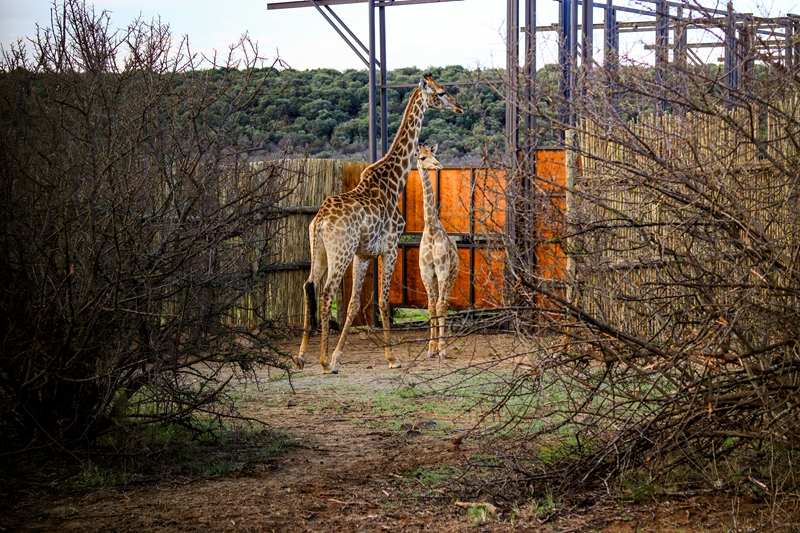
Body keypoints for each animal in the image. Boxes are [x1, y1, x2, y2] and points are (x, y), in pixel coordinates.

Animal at [296, 74, 463, 374]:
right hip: (340, 252)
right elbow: (383, 300)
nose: (459, 107)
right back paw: (322, 361)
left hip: (320, 251)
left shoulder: (363, 254)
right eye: (442, 93)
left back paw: (302, 356)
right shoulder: (390, 247)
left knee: (309, 285)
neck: (394, 180)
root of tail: (320, 221)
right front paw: (392, 358)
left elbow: (353, 305)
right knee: (326, 293)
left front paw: (339, 356)